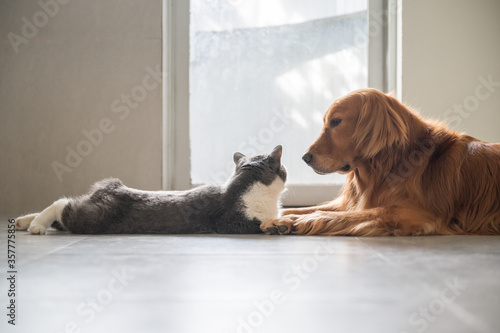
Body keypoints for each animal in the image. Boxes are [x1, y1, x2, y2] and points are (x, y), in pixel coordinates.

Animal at [14, 145, 286, 233]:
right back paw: (36, 225)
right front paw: (277, 226)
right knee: (63, 205)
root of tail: (108, 187)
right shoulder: (235, 222)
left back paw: (23, 221)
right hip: (93, 218)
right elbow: (260, 224)